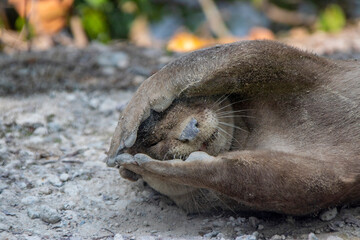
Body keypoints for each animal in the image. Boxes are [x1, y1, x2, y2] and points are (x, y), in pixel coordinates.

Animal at [106, 40, 360, 215]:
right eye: (154, 142)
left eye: (182, 104)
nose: (189, 130)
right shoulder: (329, 174)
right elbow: (272, 182)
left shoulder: (315, 70)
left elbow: (245, 53)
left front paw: (137, 108)